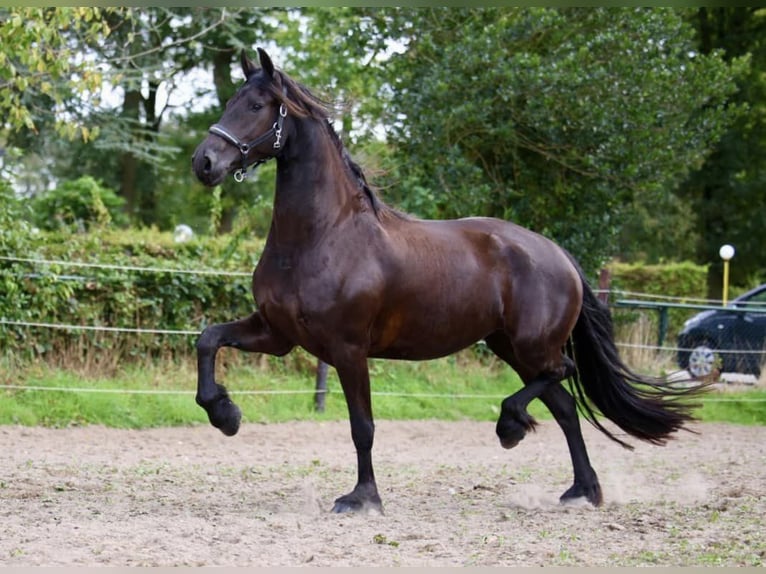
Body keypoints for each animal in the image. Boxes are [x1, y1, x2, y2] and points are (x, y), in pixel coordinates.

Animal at [192, 46, 708, 512]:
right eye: (229, 101)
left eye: (257, 106)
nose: (204, 163)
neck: (323, 235)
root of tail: (559, 254)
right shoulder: (279, 334)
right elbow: (208, 339)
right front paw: (226, 414)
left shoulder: (348, 349)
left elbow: (363, 427)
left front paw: (363, 499)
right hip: (510, 347)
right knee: (563, 406)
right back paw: (581, 491)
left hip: (531, 346)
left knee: (563, 373)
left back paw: (512, 428)